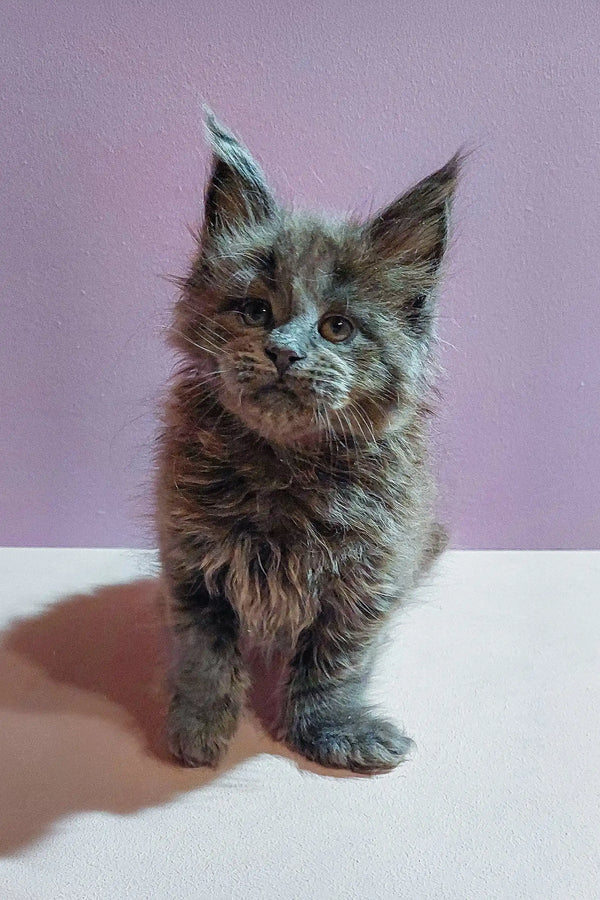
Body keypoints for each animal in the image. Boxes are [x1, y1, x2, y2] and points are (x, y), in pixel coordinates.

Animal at [155, 112, 460, 772]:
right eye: (254, 311)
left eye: (338, 328)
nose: (283, 351)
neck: (285, 467)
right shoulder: (191, 561)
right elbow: (204, 654)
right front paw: (199, 726)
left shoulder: (366, 580)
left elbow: (332, 664)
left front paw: (332, 730)